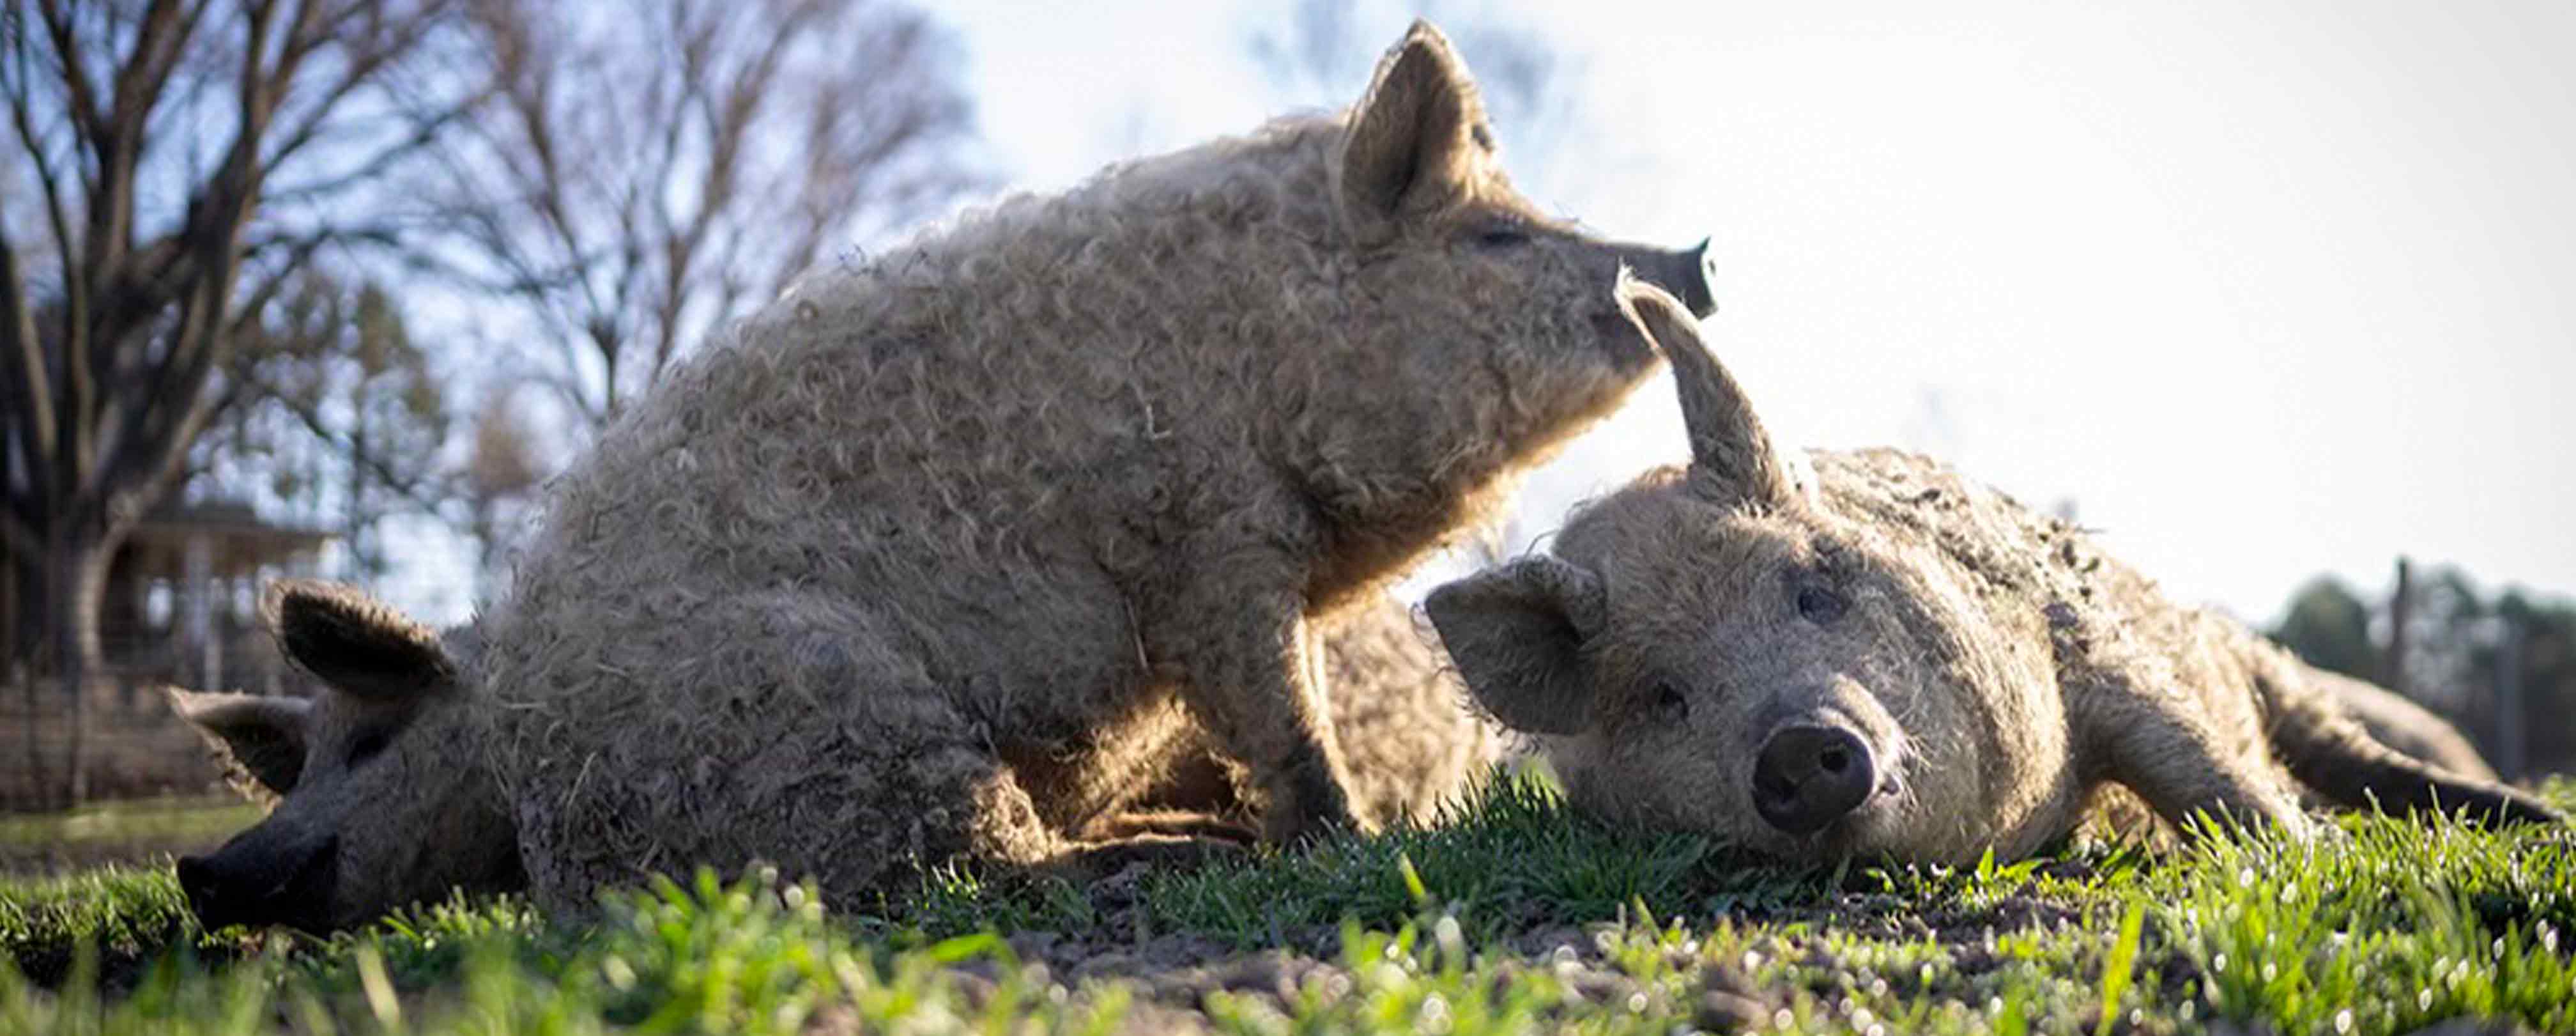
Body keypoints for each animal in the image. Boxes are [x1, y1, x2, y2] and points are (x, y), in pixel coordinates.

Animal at [170, 19, 1710, 931]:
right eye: (1498, 242)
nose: (1688, 255)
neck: (1264, 332)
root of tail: (566, 812)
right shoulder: (1202, 538)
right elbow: (1277, 713)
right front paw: (1338, 841)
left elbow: (1276, 711)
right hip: (833, 703)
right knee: (966, 868)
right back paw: (1165, 856)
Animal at [1425, 283, 2561, 865]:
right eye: (1664, 695)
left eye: (1813, 587)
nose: (1795, 744)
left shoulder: (2092, 647)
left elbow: (2200, 771)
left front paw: (2310, 856)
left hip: (2254, 657)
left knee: (2343, 750)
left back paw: (2532, 819)